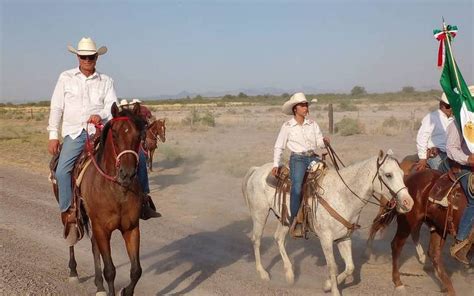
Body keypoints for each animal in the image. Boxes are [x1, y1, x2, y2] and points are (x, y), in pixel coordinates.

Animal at [65, 102, 146, 296]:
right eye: (114, 134)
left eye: (139, 135)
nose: (127, 174)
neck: (116, 191)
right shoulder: (102, 229)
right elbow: (110, 270)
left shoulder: (131, 228)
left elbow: (136, 270)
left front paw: (126, 291)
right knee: (72, 238)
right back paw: (73, 271)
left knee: (94, 246)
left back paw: (99, 286)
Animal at [243, 150, 412, 296]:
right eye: (388, 175)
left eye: (403, 174)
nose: (408, 202)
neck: (342, 195)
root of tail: (257, 170)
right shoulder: (326, 239)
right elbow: (333, 267)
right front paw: (334, 291)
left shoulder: (344, 238)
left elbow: (350, 267)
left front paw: (327, 285)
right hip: (260, 214)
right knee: (256, 240)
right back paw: (263, 273)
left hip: (285, 219)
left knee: (278, 238)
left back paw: (289, 274)